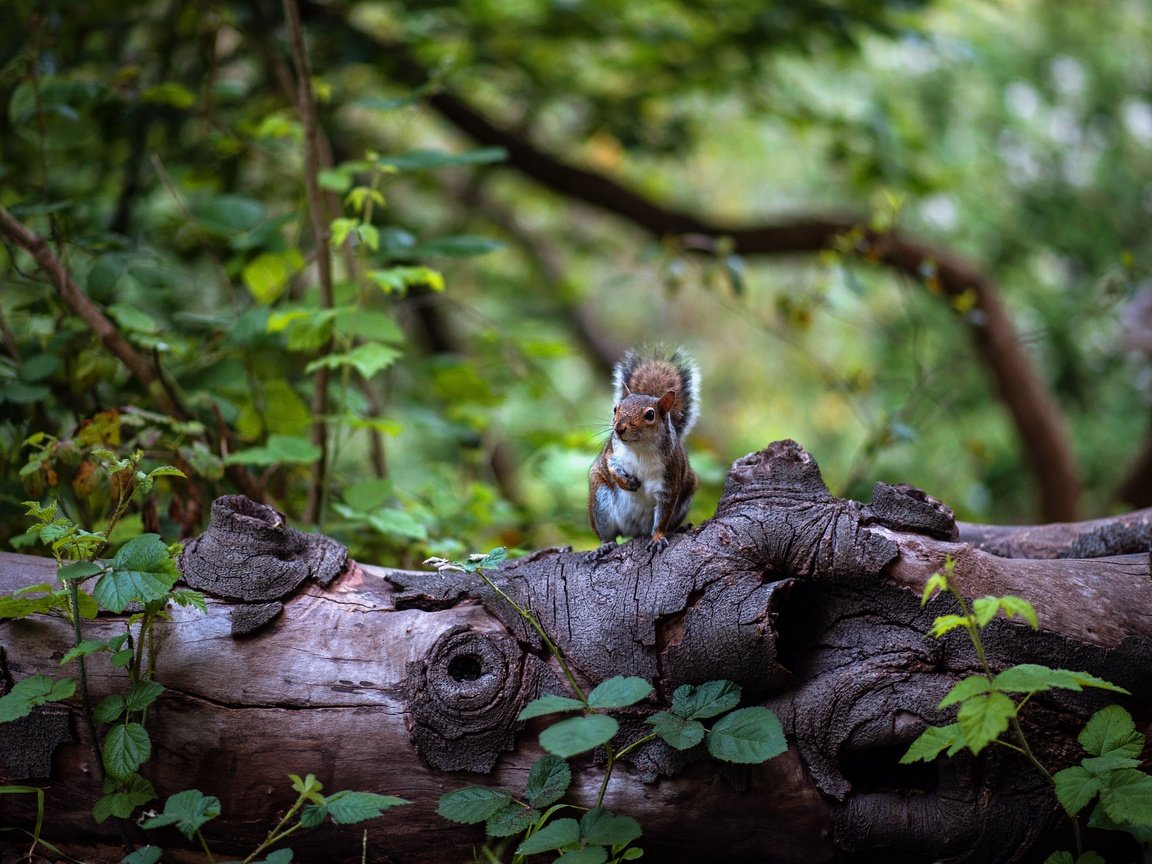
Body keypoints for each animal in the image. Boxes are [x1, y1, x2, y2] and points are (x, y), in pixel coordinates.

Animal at [589, 347, 695, 550]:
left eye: (650, 415)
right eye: (616, 408)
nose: (619, 428)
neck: (640, 448)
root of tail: (634, 530)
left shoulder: (669, 479)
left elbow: (662, 517)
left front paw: (658, 537)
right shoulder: (612, 450)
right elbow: (610, 464)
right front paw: (625, 482)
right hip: (600, 501)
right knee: (607, 533)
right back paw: (605, 545)